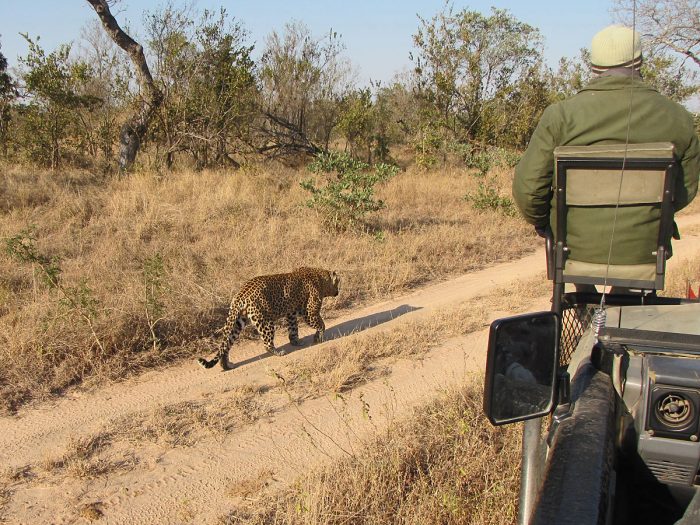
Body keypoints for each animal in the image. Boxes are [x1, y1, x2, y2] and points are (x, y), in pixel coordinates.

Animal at [198, 266, 340, 368]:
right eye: (339, 282)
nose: (338, 292)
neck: (322, 278)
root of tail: (240, 294)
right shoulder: (309, 312)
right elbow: (321, 324)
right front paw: (318, 337)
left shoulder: (291, 314)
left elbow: (293, 329)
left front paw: (296, 342)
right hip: (265, 322)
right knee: (266, 343)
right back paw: (278, 353)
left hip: (237, 322)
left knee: (226, 345)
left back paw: (226, 365)